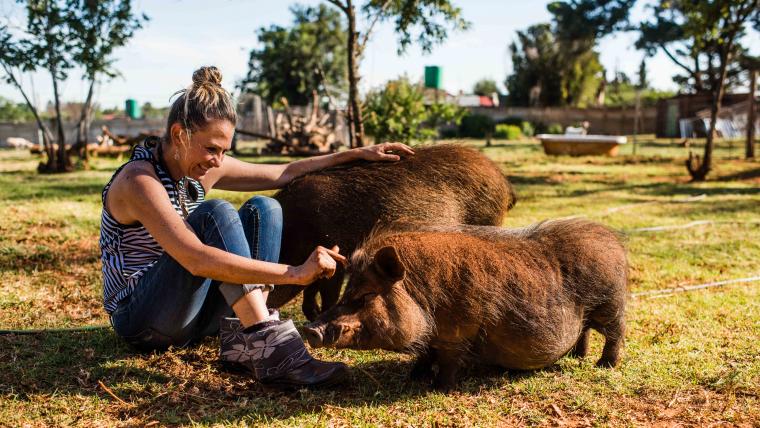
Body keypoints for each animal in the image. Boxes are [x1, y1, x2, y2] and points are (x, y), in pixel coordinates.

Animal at [268, 145, 516, 320]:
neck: (298, 229)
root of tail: (503, 181)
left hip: (488, 221)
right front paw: (313, 316)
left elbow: (327, 292)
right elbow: (310, 289)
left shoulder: (336, 253)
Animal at [302, 219, 628, 390]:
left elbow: (447, 361)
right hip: (589, 315)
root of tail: (612, 240)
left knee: (616, 332)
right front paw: (414, 378)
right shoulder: (432, 338)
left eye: (366, 295)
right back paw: (576, 357)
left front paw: (439, 388)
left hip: (610, 304)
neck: (424, 299)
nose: (310, 330)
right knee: (584, 331)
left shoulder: (457, 334)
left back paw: (604, 365)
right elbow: (424, 356)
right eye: (346, 293)